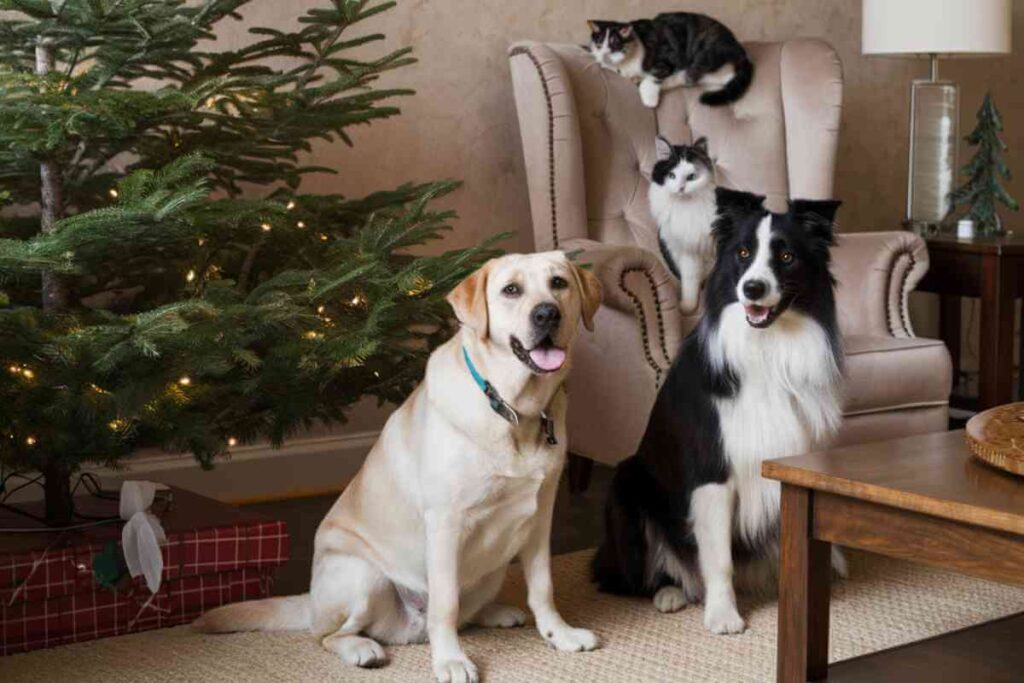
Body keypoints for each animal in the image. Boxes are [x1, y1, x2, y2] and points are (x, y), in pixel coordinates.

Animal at [585, 12, 753, 109]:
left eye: (614, 45)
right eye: (599, 45)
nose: (604, 55)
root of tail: (740, 50)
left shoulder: (667, 57)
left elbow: (651, 78)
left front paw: (649, 98)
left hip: (704, 57)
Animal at [651, 137, 716, 313]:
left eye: (691, 177)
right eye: (671, 175)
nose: (680, 188)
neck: (686, 208)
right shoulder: (688, 252)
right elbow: (690, 282)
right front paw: (688, 306)